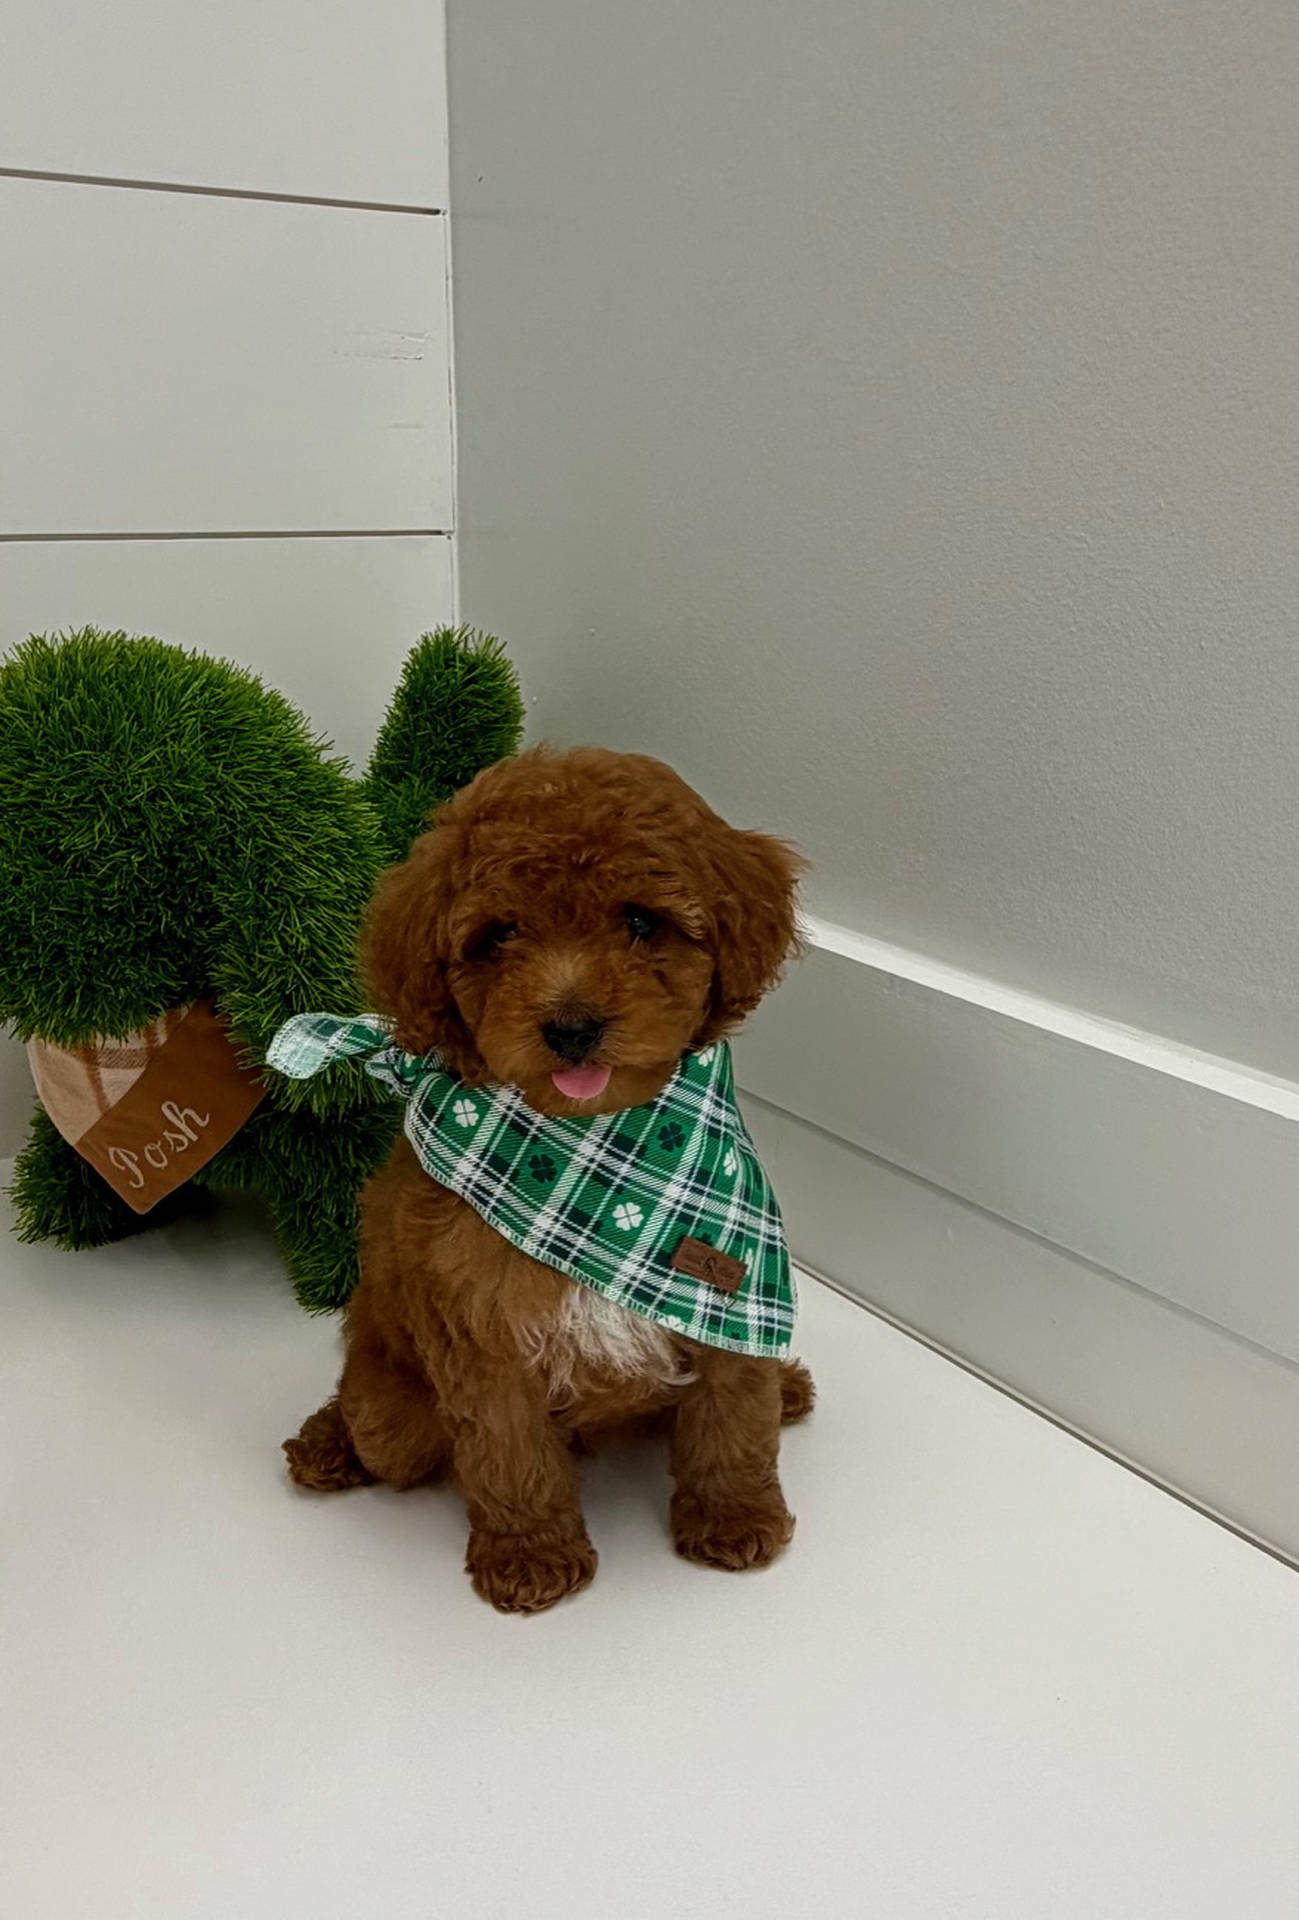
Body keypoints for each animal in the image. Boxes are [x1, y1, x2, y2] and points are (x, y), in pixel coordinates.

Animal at [284, 747, 813, 1613]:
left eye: (640, 922)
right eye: (497, 937)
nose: (570, 1028)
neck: (602, 1169)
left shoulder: (730, 1281)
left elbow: (734, 1411)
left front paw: (733, 1514)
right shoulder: (479, 1332)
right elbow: (509, 1454)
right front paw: (530, 1554)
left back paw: (789, 1386)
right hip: (390, 1399)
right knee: (377, 1426)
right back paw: (329, 1443)